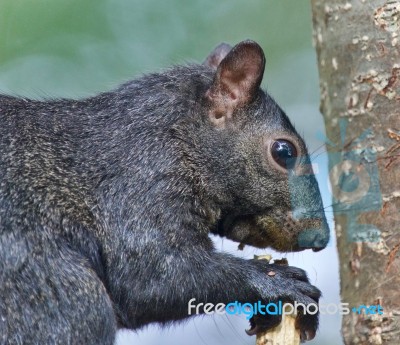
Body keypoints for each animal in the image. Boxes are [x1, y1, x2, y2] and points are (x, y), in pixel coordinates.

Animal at [0, 39, 328, 342]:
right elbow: (154, 280)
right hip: (63, 297)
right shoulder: (140, 185)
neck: (176, 136)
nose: (320, 238)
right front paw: (280, 283)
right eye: (284, 151)